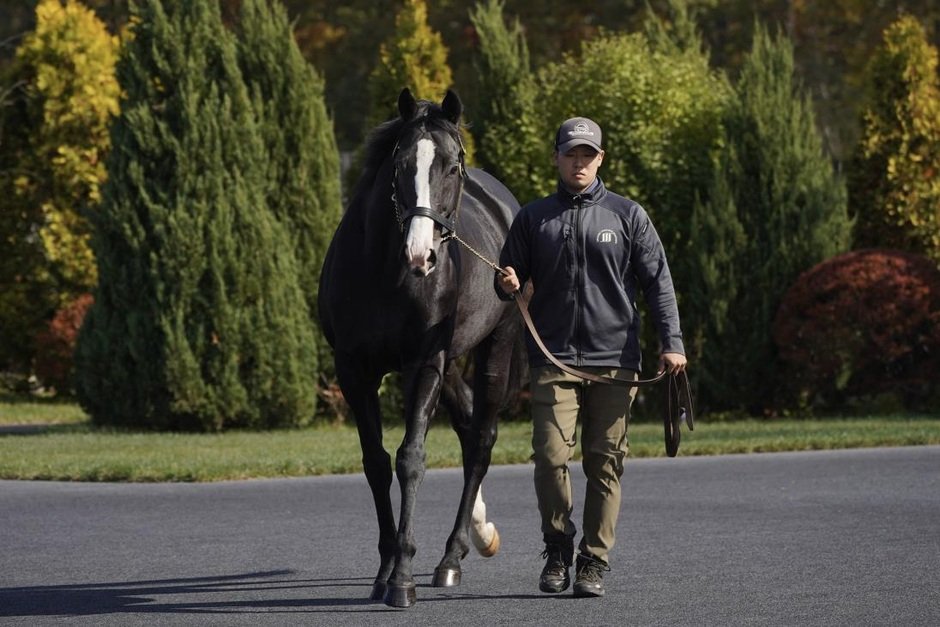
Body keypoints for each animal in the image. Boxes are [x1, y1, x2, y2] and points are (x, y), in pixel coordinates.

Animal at [318, 88, 523, 608]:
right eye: (401, 163)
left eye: (452, 166)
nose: (421, 255)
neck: (387, 274)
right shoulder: (354, 370)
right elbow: (375, 462)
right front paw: (385, 568)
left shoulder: (424, 364)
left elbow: (411, 459)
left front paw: (403, 577)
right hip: (449, 366)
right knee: (467, 422)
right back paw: (477, 534)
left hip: (494, 347)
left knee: (481, 441)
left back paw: (451, 557)